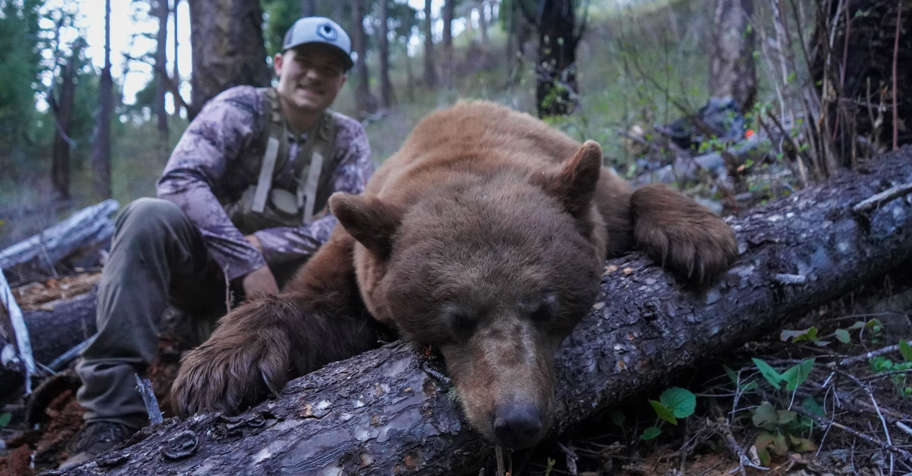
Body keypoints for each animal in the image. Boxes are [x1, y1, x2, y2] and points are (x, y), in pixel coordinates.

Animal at [171, 100, 738, 449]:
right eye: (457, 319)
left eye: (545, 308)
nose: (516, 420)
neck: (465, 152)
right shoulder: (357, 258)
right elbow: (314, 306)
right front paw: (218, 368)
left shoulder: (590, 194)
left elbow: (633, 193)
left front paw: (699, 237)